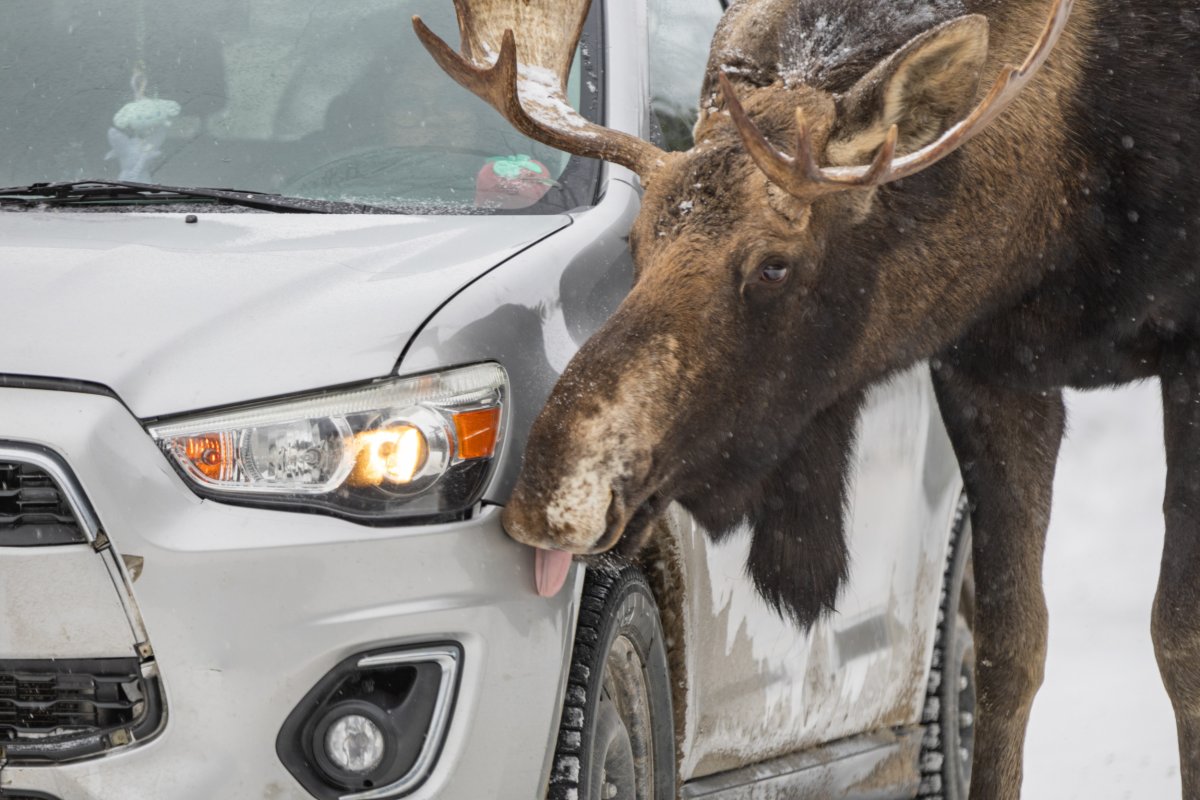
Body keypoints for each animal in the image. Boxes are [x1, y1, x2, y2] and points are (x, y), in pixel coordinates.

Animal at [414, 0, 1200, 797]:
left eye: (774, 266)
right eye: (638, 242)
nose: (551, 487)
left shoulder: (1187, 356)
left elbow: (1179, 637)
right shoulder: (995, 367)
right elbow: (1010, 646)